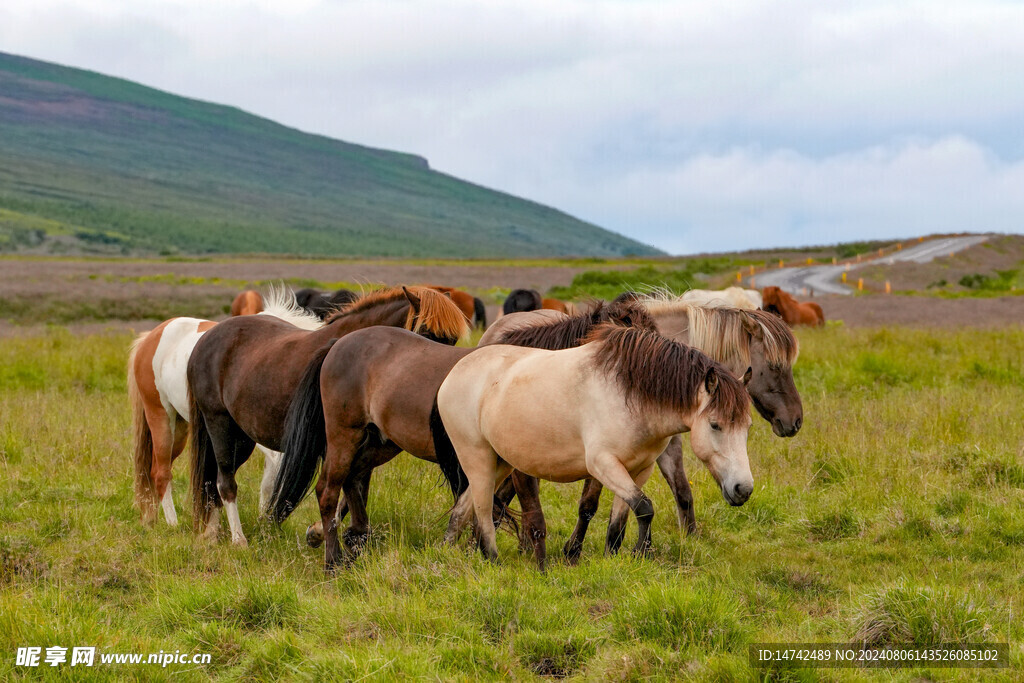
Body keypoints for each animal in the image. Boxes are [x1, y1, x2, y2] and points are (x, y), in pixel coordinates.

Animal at [127, 288, 321, 527]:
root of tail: (151, 337)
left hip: (180, 429)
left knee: (156, 469)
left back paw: (152, 518)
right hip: (161, 417)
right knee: (161, 472)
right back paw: (173, 524)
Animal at [187, 286, 469, 546]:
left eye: (453, 341)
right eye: (426, 334)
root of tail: (207, 338)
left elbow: (356, 488)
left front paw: (324, 532)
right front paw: (324, 533)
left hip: (242, 437)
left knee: (213, 482)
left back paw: (211, 534)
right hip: (220, 425)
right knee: (225, 482)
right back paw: (238, 540)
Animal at [269, 300, 651, 572]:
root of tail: (339, 344)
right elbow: (514, 508)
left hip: (378, 442)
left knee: (351, 479)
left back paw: (351, 540)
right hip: (344, 434)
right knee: (328, 489)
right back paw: (333, 560)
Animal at [469, 295, 801, 563]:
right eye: (775, 366)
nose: (795, 421)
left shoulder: (661, 445)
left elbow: (679, 492)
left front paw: (679, 540)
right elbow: (590, 504)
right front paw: (575, 551)